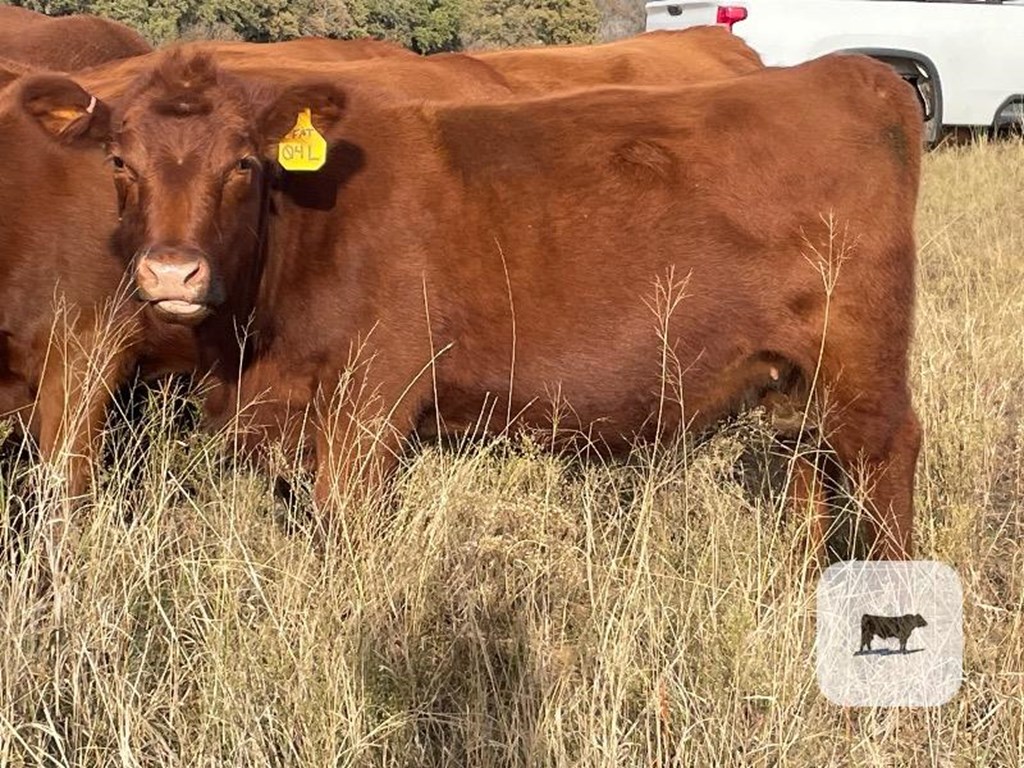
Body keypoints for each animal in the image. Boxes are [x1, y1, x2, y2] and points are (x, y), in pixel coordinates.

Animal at [19, 52, 925, 561]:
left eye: (243, 163)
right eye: (119, 161)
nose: (171, 272)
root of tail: (851, 73)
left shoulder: (371, 403)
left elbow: (343, 532)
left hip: (863, 362)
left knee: (884, 459)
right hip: (794, 380)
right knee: (809, 469)